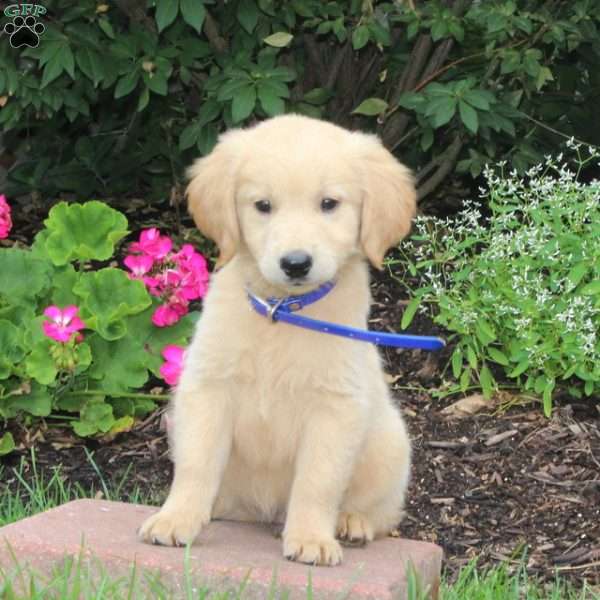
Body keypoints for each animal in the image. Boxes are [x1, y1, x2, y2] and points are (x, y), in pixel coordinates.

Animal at [138, 113, 414, 568]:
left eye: (329, 204)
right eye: (263, 206)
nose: (296, 263)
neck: (281, 311)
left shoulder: (336, 407)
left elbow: (318, 482)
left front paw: (311, 539)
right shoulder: (207, 389)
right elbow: (196, 464)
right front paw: (175, 519)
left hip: (390, 444)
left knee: (381, 511)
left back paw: (351, 522)